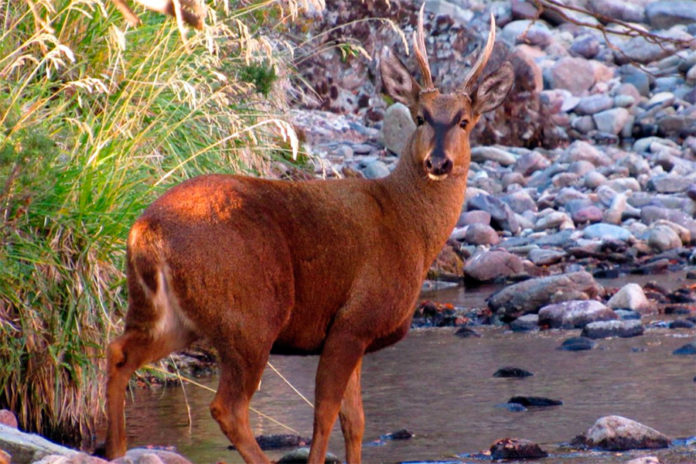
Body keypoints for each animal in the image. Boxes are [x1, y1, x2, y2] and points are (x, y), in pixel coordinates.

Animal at [104, 4, 516, 464]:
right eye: (421, 117)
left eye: (464, 121)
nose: (438, 162)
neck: (408, 227)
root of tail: (146, 230)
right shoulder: (353, 320)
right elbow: (325, 418)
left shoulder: (353, 333)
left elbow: (355, 422)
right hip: (250, 314)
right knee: (227, 406)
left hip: (167, 314)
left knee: (118, 353)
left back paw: (116, 449)